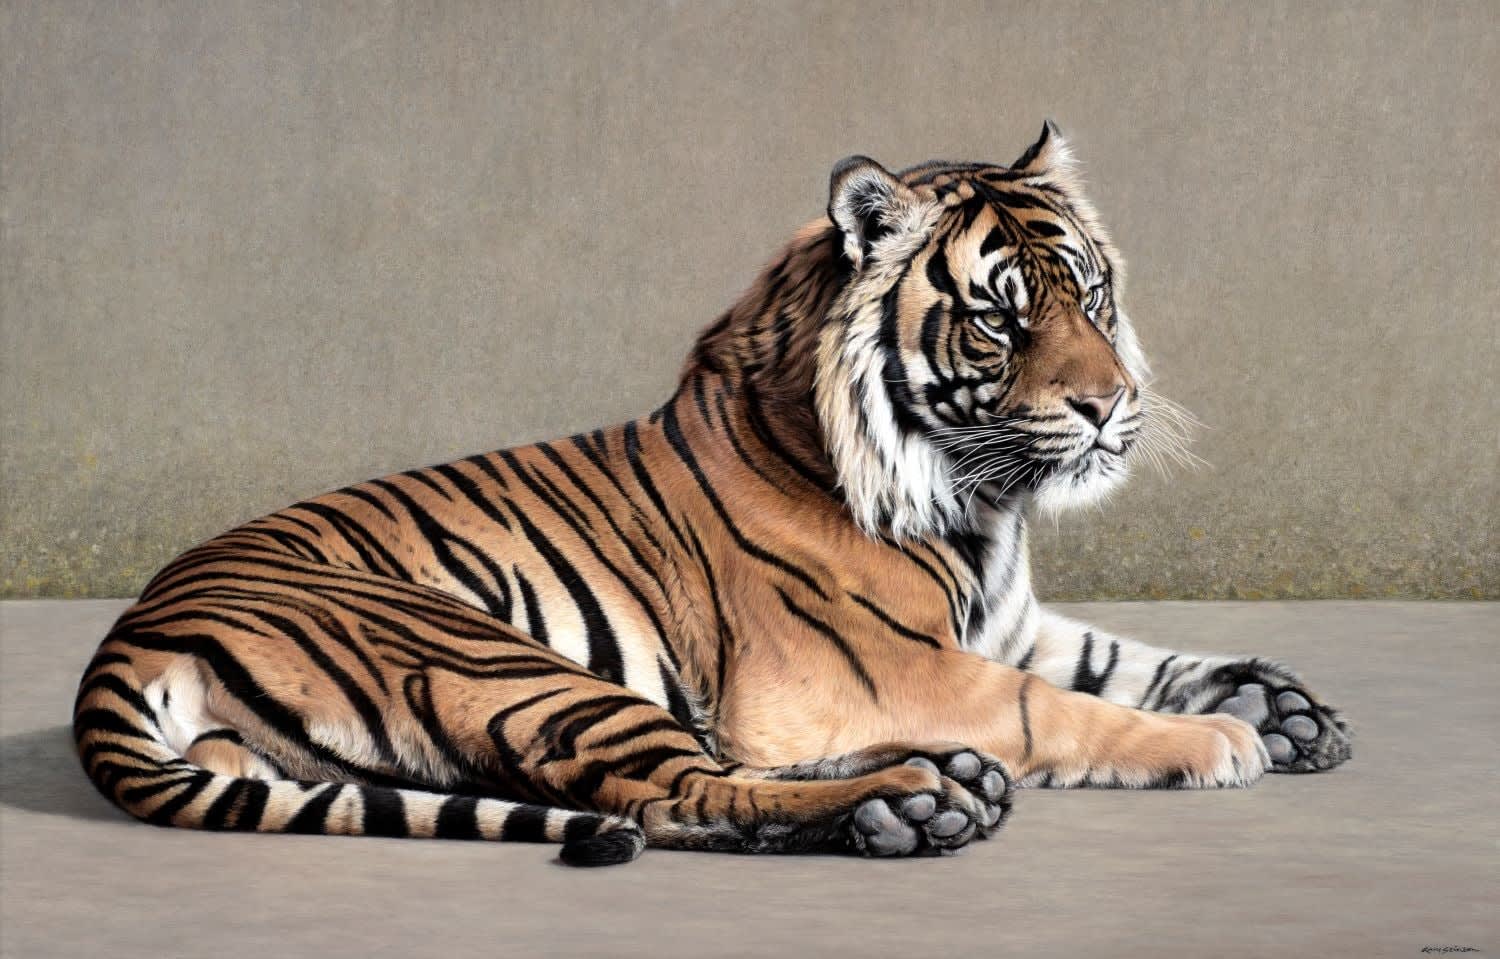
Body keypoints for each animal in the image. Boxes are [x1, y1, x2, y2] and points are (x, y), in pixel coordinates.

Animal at [73, 123, 1351, 866]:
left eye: (1089, 291)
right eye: (999, 316)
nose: (1109, 401)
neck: (981, 503)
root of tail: (129, 636)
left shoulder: (1006, 625)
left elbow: (1123, 657)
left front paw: (1287, 706)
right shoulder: (892, 664)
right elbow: (1064, 707)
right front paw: (1221, 736)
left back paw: (931, 784)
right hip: (509, 663)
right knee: (676, 789)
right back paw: (920, 798)